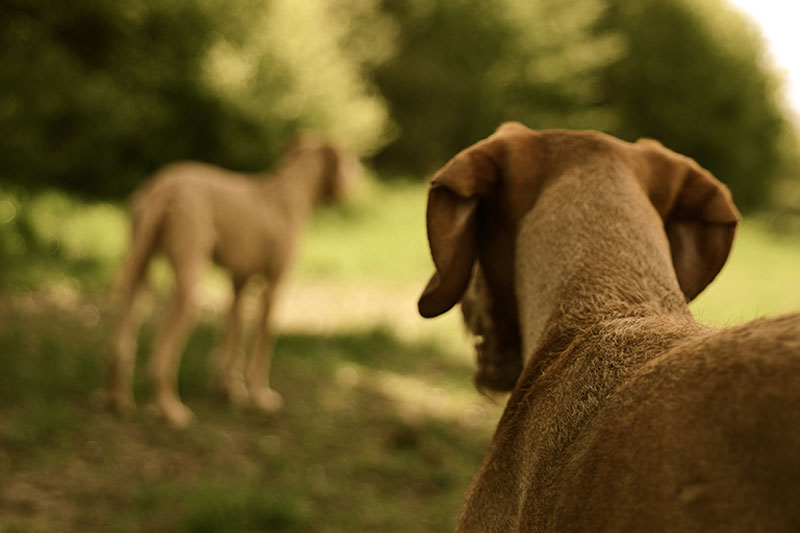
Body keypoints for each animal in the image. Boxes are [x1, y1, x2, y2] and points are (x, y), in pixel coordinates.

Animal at [108, 134, 358, 428]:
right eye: (351, 160)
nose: (359, 179)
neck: (288, 193)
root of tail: (164, 187)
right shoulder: (273, 287)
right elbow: (262, 346)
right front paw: (259, 397)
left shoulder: (238, 284)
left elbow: (231, 339)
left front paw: (228, 391)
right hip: (189, 284)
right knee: (161, 354)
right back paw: (170, 411)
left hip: (139, 273)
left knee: (121, 345)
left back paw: (119, 402)